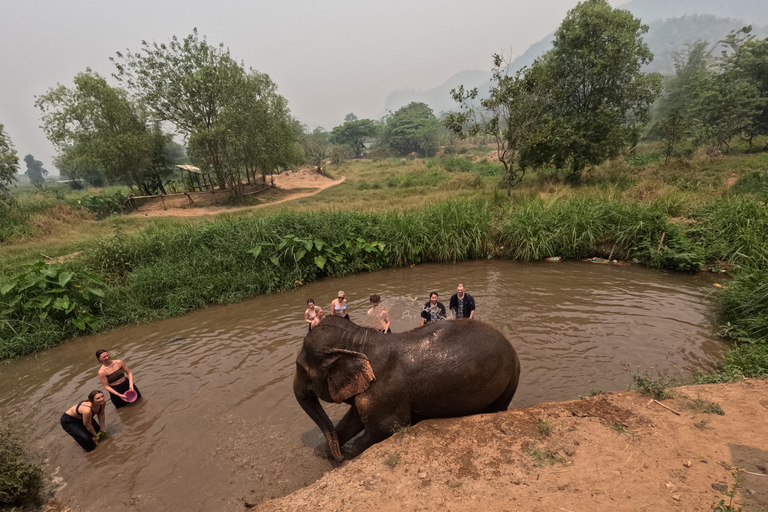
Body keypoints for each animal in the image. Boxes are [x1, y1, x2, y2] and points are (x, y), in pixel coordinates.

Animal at [294, 314, 520, 462]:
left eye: (301, 369)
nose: (337, 456)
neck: (361, 339)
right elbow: (354, 418)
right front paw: (322, 453)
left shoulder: (385, 391)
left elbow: (387, 427)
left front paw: (348, 454)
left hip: (509, 379)